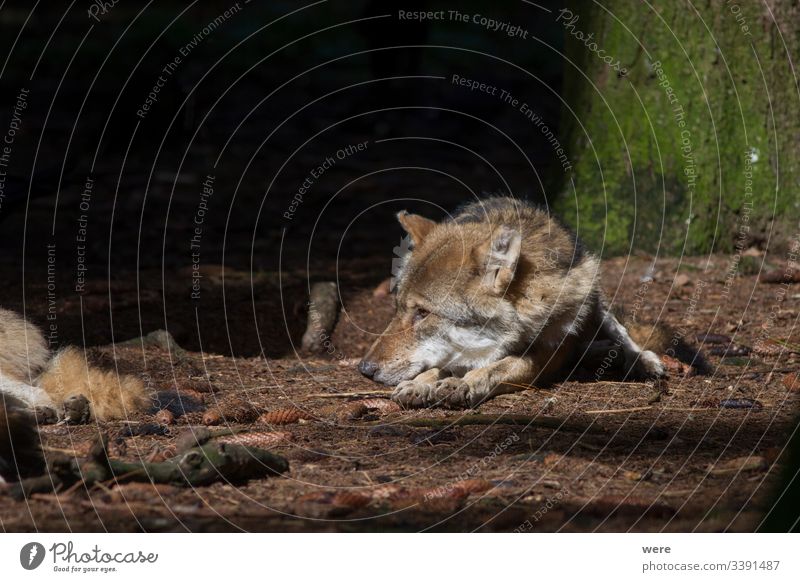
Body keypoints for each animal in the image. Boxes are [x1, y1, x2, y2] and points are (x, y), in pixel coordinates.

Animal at [362, 201, 676, 410]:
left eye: (423, 313)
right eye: (398, 308)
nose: (364, 369)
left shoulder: (544, 353)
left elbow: (500, 368)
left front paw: (464, 383)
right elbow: (441, 365)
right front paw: (421, 383)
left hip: (591, 293)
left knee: (618, 331)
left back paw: (640, 359)